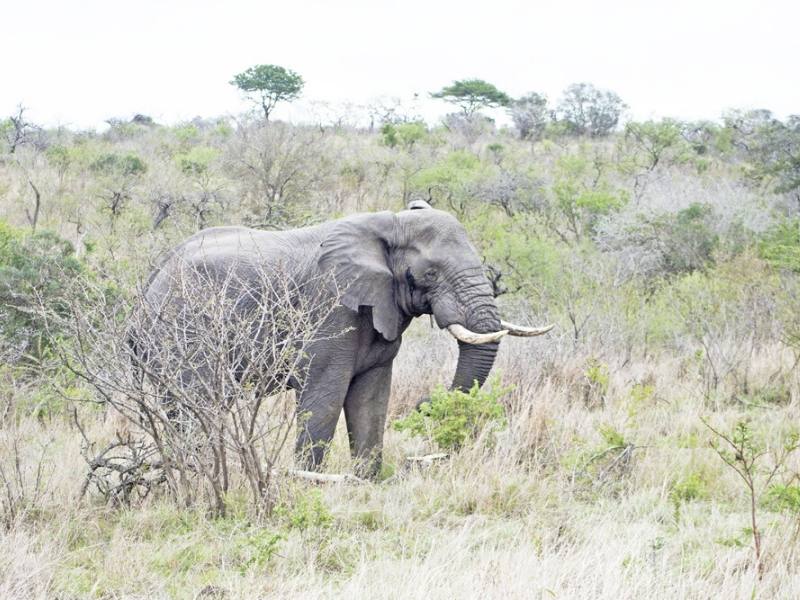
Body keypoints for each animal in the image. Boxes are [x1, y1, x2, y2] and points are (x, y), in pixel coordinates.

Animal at [136, 200, 552, 478]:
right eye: (430, 274)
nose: (424, 403)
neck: (390, 225)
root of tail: (152, 277)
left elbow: (371, 400)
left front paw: (364, 482)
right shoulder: (330, 309)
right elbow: (325, 397)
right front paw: (307, 483)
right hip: (178, 333)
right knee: (190, 407)